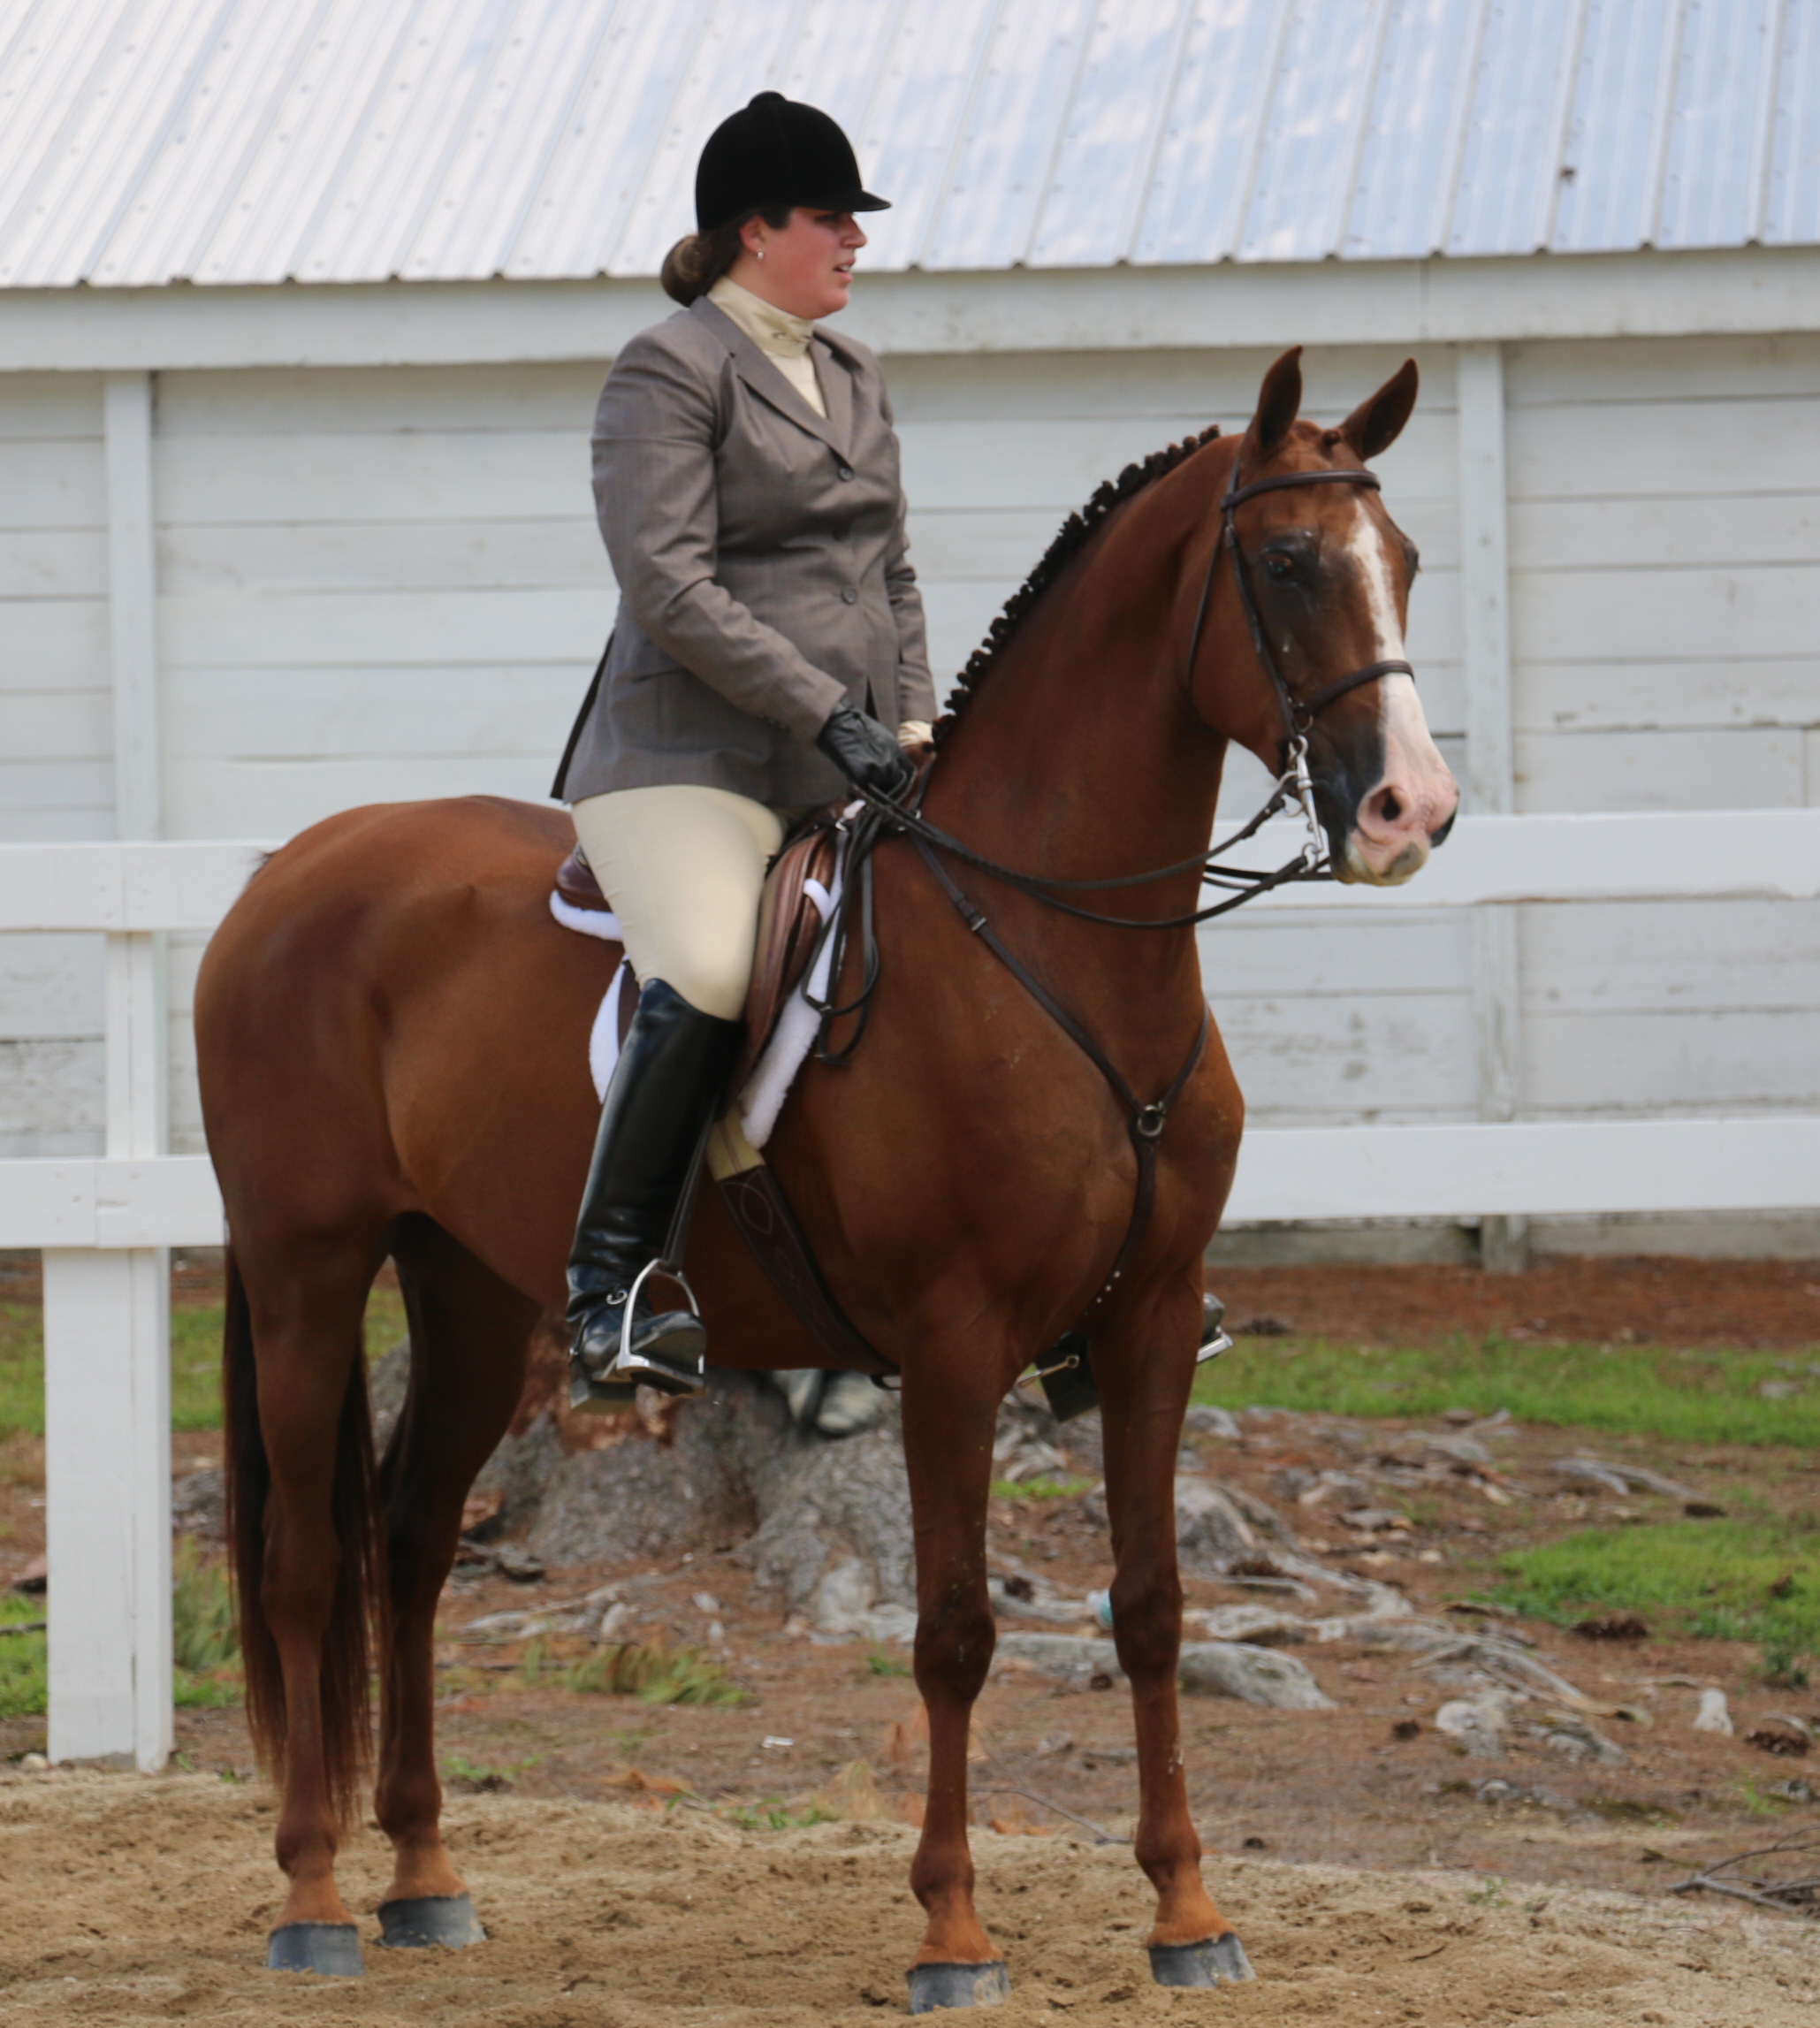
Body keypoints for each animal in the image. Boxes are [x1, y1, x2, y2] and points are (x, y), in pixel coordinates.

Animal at [197, 345, 1458, 2000]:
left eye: (1405, 559)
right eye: (1290, 560)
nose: (1406, 811)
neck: (1051, 940)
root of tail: (282, 871)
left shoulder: (1147, 1323)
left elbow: (1148, 1605)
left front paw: (1186, 1913)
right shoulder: (952, 1337)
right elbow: (951, 1628)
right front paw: (952, 1933)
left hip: (466, 1283)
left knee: (406, 1542)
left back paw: (423, 1877)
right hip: (308, 1261)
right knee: (300, 1561)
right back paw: (311, 1898)